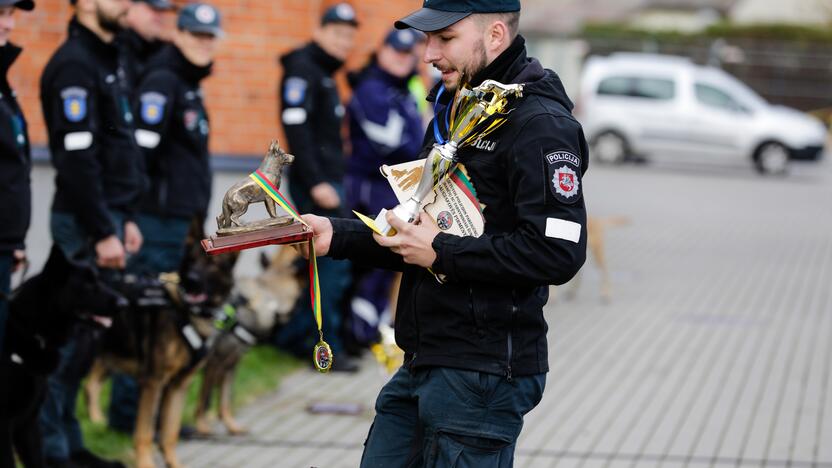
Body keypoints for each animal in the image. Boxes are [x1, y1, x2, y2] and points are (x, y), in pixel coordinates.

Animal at [0, 247, 127, 468]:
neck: (32, 332)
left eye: (98, 279)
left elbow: (37, 460)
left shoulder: (28, 424)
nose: (123, 303)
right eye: (88, 284)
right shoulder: (5, 426)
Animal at [84, 234, 239, 468]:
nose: (192, 281)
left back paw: (96, 419)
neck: (184, 310)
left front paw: (173, 463)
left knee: (92, 383)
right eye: (190, 260)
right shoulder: (153, 383)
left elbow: (169, 432)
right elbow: (145, 433)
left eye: (213, 263)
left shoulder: (178, 385)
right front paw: (146, 463)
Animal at [193, 247, 302, 436]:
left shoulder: (230, 365)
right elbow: (204, 399)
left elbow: (225, 400)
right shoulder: (214, 363)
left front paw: (231, 426)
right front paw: (202, 426)